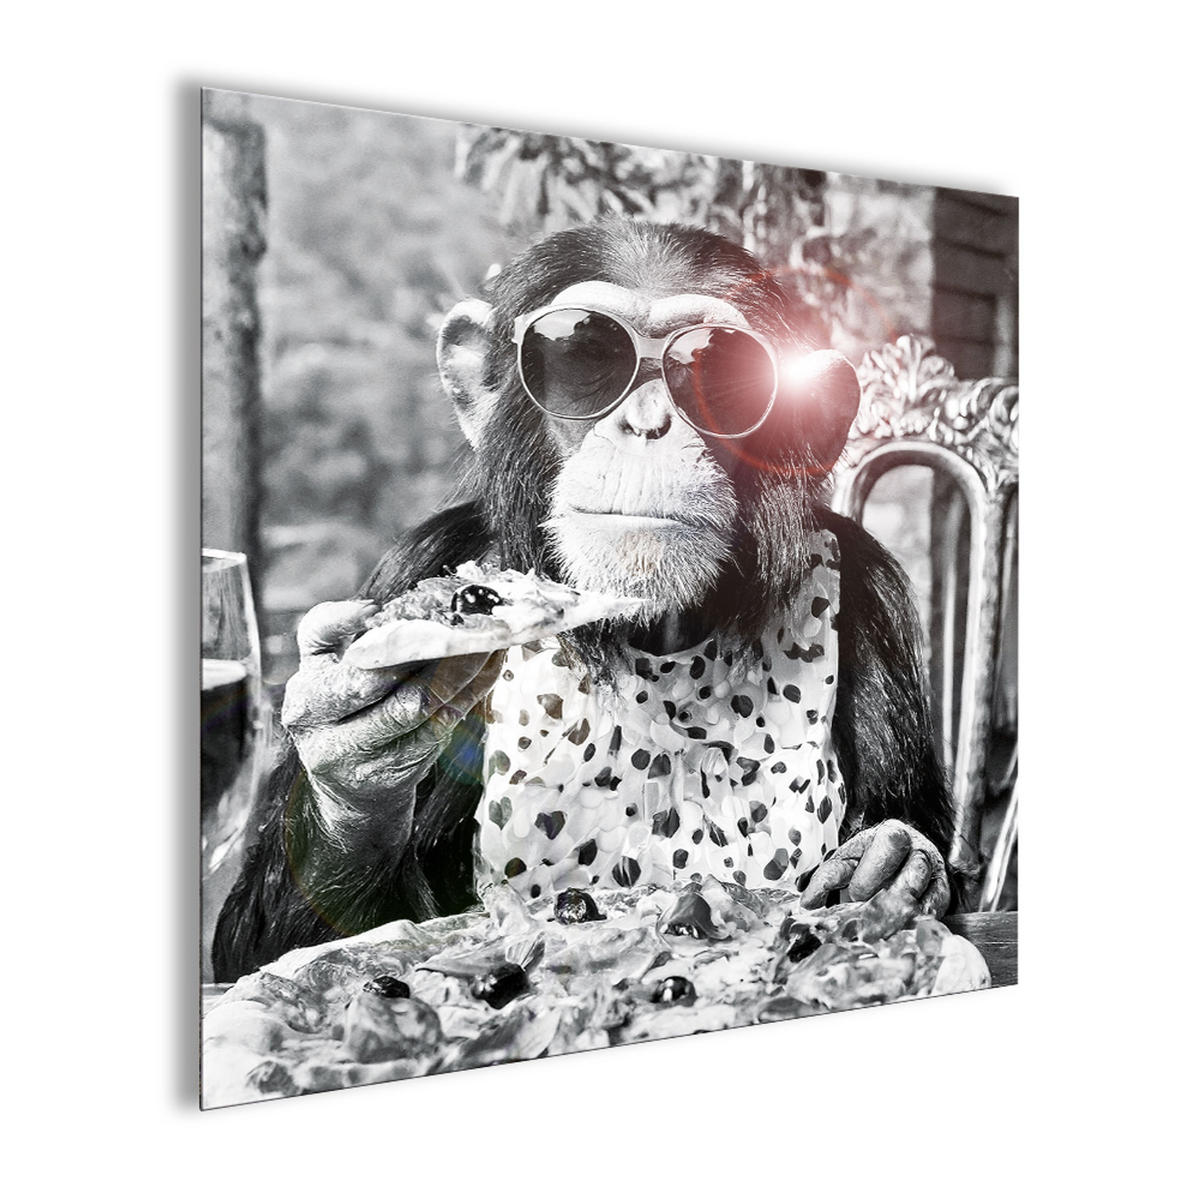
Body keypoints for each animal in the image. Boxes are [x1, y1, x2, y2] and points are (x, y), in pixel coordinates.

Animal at [213, 219, 955, 983]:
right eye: (584, 353)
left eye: (721, 370)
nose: (648, 423)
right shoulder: (411, 563)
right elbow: (257, 945)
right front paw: (351, 773)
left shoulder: (875, 591)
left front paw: (893, 862)